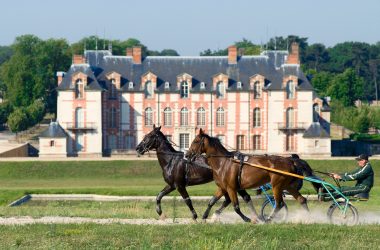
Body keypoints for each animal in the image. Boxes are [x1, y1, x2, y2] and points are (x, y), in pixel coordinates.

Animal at [185, 129, 320, 223]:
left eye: (195, 141)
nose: (187, 155)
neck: (224, 162)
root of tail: (291, 160)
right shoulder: (223, 188)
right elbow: (212, 201)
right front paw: (205, 217)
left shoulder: (231, 188)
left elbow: (236, 207)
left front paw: (248, 219)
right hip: (287, 185)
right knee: (302, 200)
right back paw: (309, 218)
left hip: (277, 185)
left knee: (279, 203)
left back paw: (269, 219)